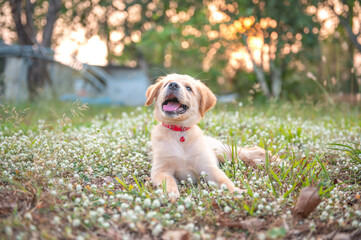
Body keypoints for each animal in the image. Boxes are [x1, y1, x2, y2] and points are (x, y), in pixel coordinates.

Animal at [145, 74, 278, 198]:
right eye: (165, 84)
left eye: (188, 88)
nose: (172, 84)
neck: (179, 132)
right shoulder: (161, 170)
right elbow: (168, 181)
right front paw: (171, 193)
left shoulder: (207, 167)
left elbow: (224, 180)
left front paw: (236, 191)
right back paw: (259, 162)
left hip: (223, 152)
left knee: (249, 151)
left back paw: (271, 158)